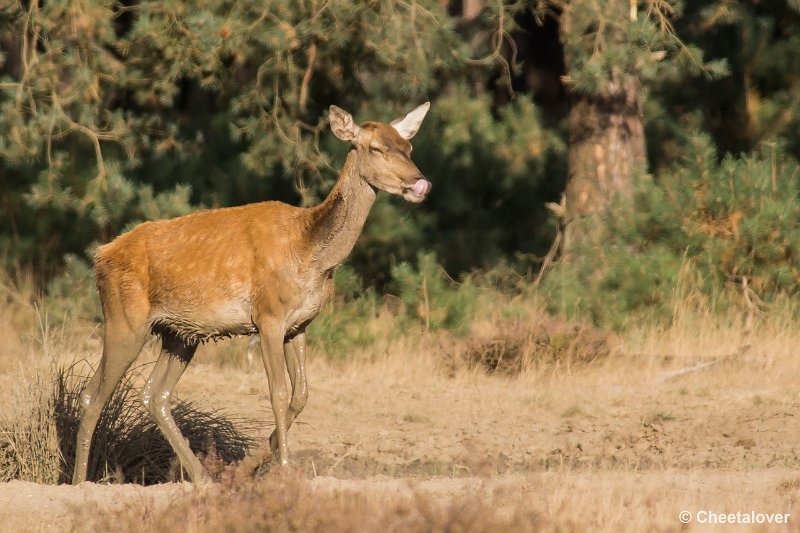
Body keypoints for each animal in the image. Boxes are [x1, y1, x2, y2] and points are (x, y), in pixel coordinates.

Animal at [75, 102, 432, 484]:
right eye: (376, 148)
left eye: (409, 147)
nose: (419, 182)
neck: (310, 254)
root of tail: (100, 256)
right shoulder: (268, 316)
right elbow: (278, 392)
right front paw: (285, 470)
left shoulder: (299, 325)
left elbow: (301, 394)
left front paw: (247, 466)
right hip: (124, 318)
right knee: (93, 395)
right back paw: (79, 482)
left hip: (180, 334)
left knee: (154, 395)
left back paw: (202, 478)